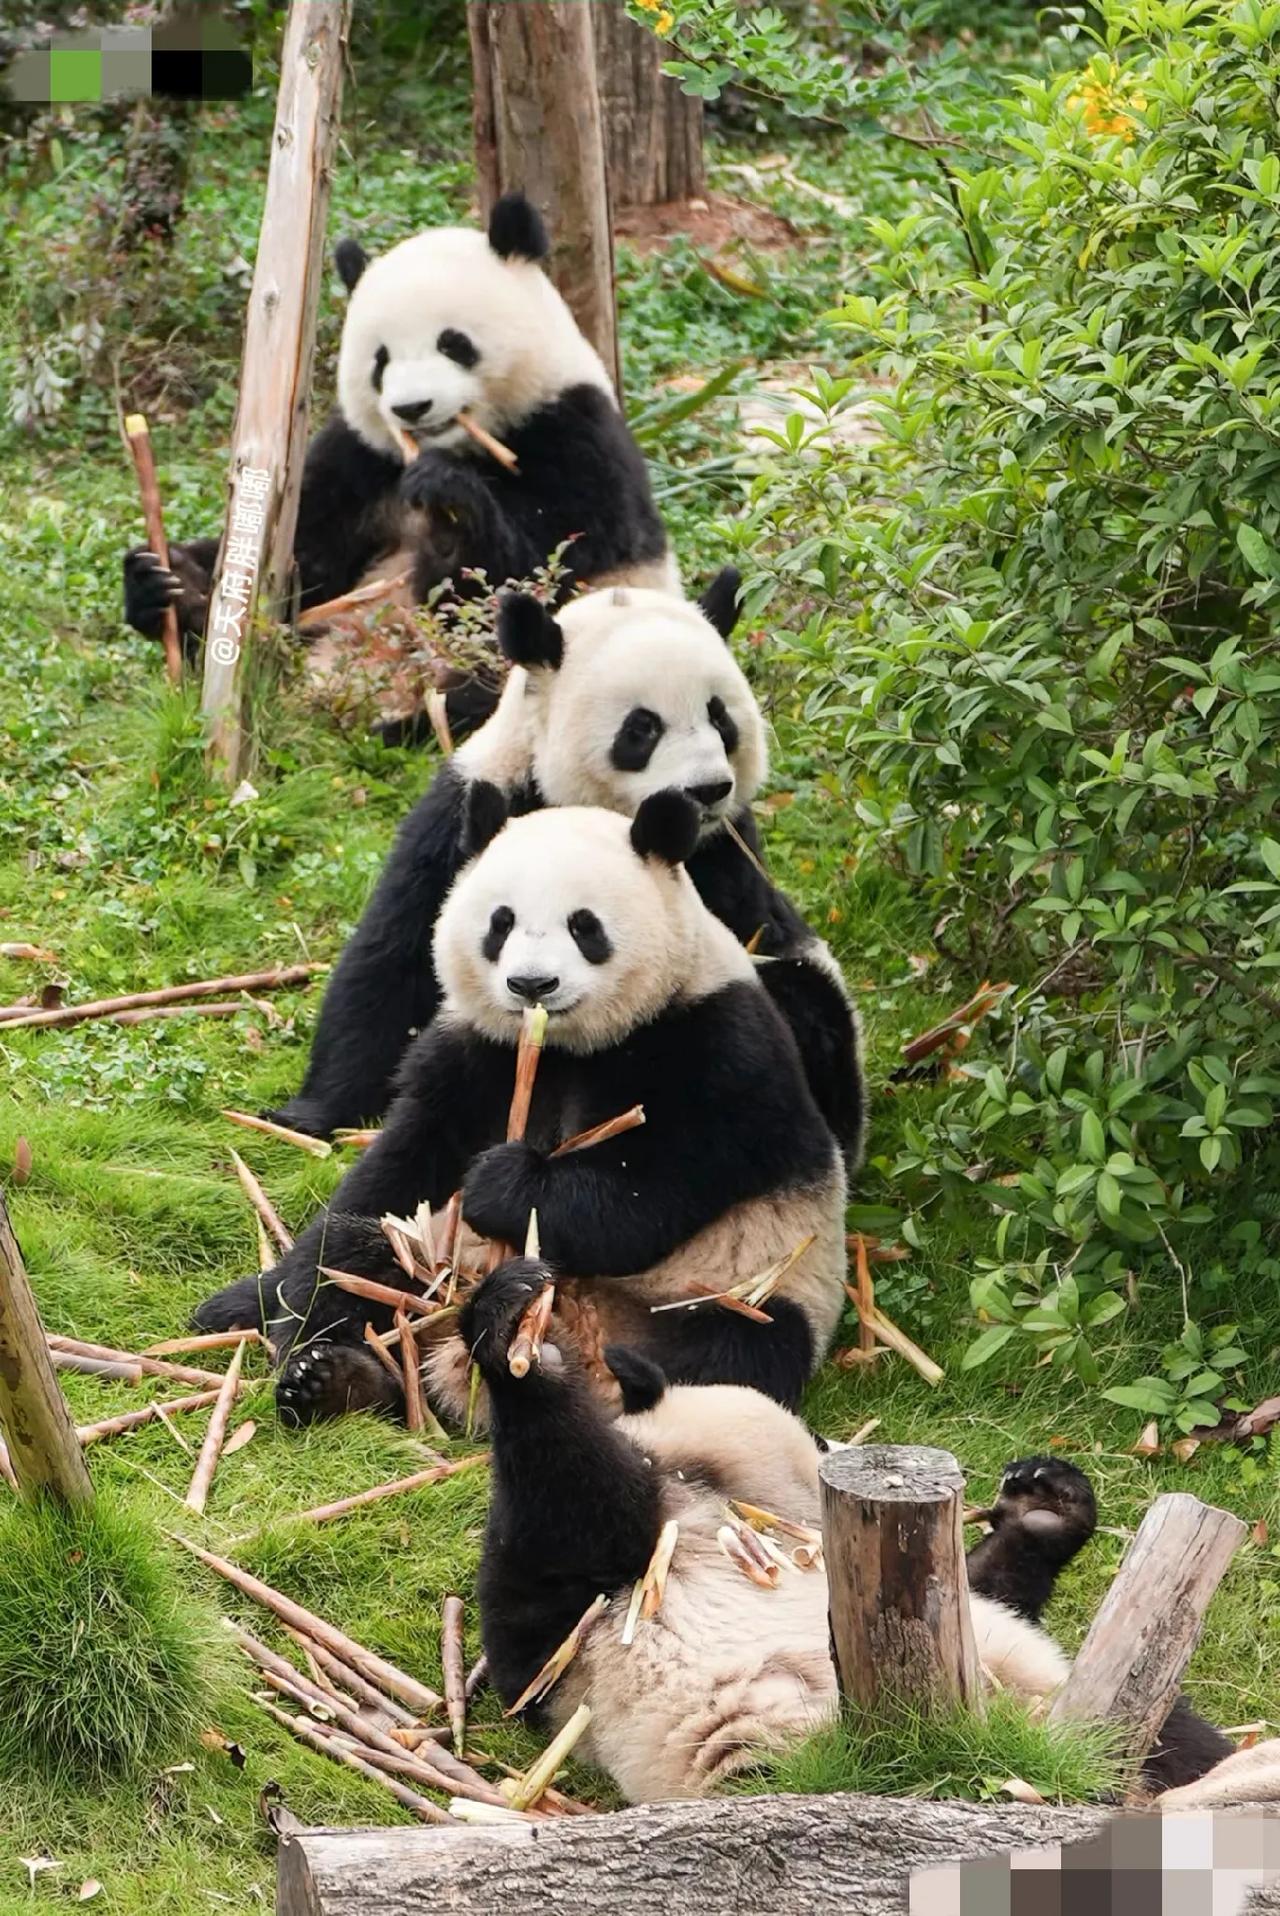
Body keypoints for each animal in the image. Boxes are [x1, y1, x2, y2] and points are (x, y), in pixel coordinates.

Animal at [122, 192, 670, 724]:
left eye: (454, 343)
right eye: (380, 361)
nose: (412, 408)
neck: (456, 446)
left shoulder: (576, 433)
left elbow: (542, 562)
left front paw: (450, 510)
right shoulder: (359, 458)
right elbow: (306, 561)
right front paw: (171, 583)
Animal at [192, 785, 850, 1433]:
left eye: (585, 926)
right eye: (500, 922)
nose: (532, 985)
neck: (565, 1047)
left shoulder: (719, 1040)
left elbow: (663, 1181)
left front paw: (506, 1184)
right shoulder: (477, 1052)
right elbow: (398, 1171)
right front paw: (288, 1307)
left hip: (742, 1289)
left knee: (731, 1352)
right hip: (435, 1258)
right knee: (370, 1256)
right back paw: (344, 1376)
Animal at [270, 574, 869, 1164]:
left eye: (719, 717)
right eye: (642, 728)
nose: (707, 789)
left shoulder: (722, 856)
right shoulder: (476, 810)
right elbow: (395, 959)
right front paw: (309, 1115)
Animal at [465, 1264, 1234, 1801]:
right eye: (814, 1434)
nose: (837, 1446)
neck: (718, 1498)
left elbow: (973, 1589)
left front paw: (1044, 1499)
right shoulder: (593, 1613)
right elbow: (543, 1590)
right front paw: (513, 1328)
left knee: (1171, 1739)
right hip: (831, 1767)